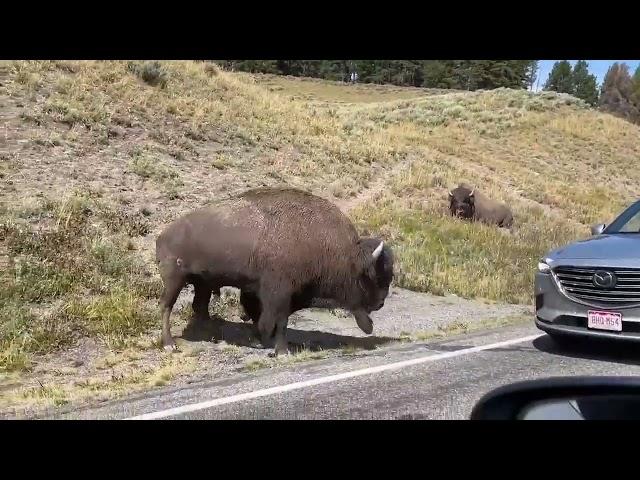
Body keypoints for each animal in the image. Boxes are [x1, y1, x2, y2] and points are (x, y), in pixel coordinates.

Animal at [156, 188, 396, 356]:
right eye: (373, 276)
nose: (380, 303)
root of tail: (163, 234)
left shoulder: (264, 292)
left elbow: (260, 316)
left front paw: (260, 339)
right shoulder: (279, 293)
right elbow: (278, 321)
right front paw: (281, 350)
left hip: (203, 283)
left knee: (200, 306)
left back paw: (211, 335)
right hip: (174, 280)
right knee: (166, 306)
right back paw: (169, 345)